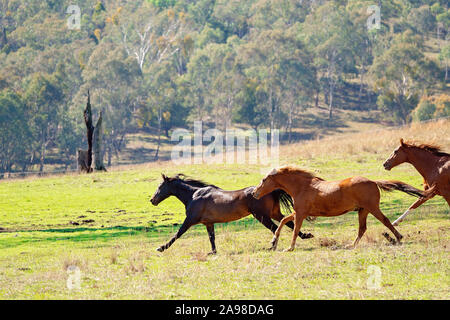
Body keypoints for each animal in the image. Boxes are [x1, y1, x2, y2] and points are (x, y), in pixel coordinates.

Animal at [149, 174, 312, 254]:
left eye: (160, 186)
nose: (152, 200)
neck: (194, 195)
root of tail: (270, 190)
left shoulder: (189, 220)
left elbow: (177, 234)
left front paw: (161, 248)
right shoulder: (208, 223)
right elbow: (211, 238)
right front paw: (213, 252)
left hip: (262, 216)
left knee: (275, 228)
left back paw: (272, 247)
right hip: (274, 213)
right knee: (289, 222)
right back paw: (306, 236)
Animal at [251, 166, 428, 251]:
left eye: (264, 180)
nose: (254, 193)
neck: (302, 187)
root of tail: (373, 181)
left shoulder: (300, 214)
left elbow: (294, 230)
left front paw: (289, 248)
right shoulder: (299, 212)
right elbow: (282, 222)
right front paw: (273, 242)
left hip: (372, 208)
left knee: (385, 221)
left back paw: (398, 238)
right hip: (363, 210)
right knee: (362, 228)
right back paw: (351, 245)